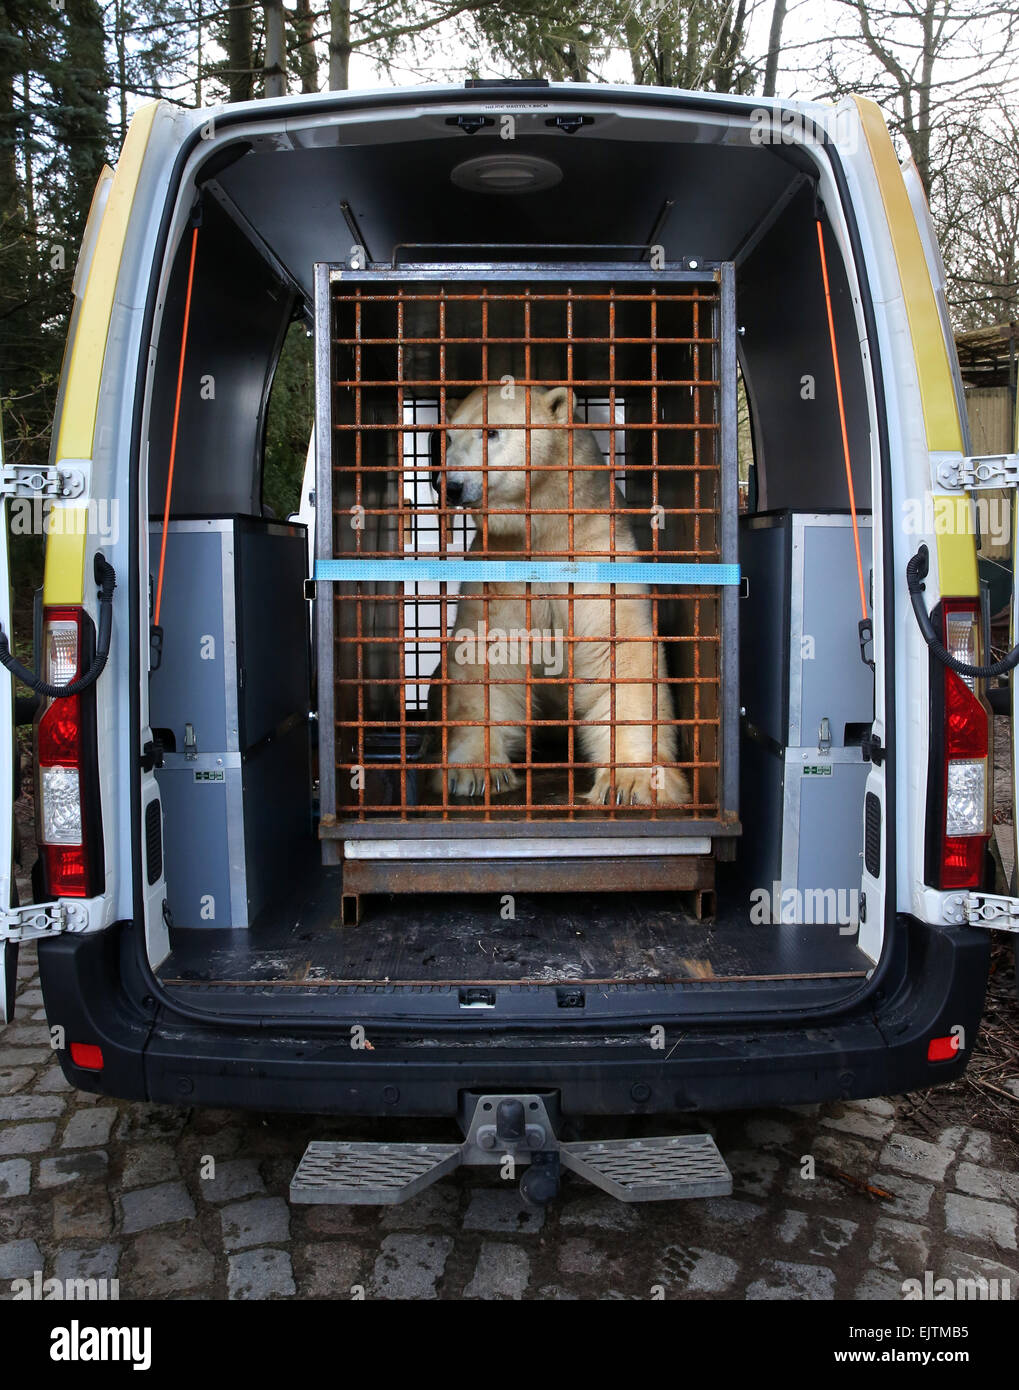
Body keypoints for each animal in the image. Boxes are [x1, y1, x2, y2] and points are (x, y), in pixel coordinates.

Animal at [422, 386, 692, 811]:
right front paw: (474, 773)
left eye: (491, 431)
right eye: (448, 438)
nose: (449, 485)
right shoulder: (504, 563)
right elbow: (487, 650)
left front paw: (632, 783)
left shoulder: (595, 552)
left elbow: (618, 650)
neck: (545, 532)